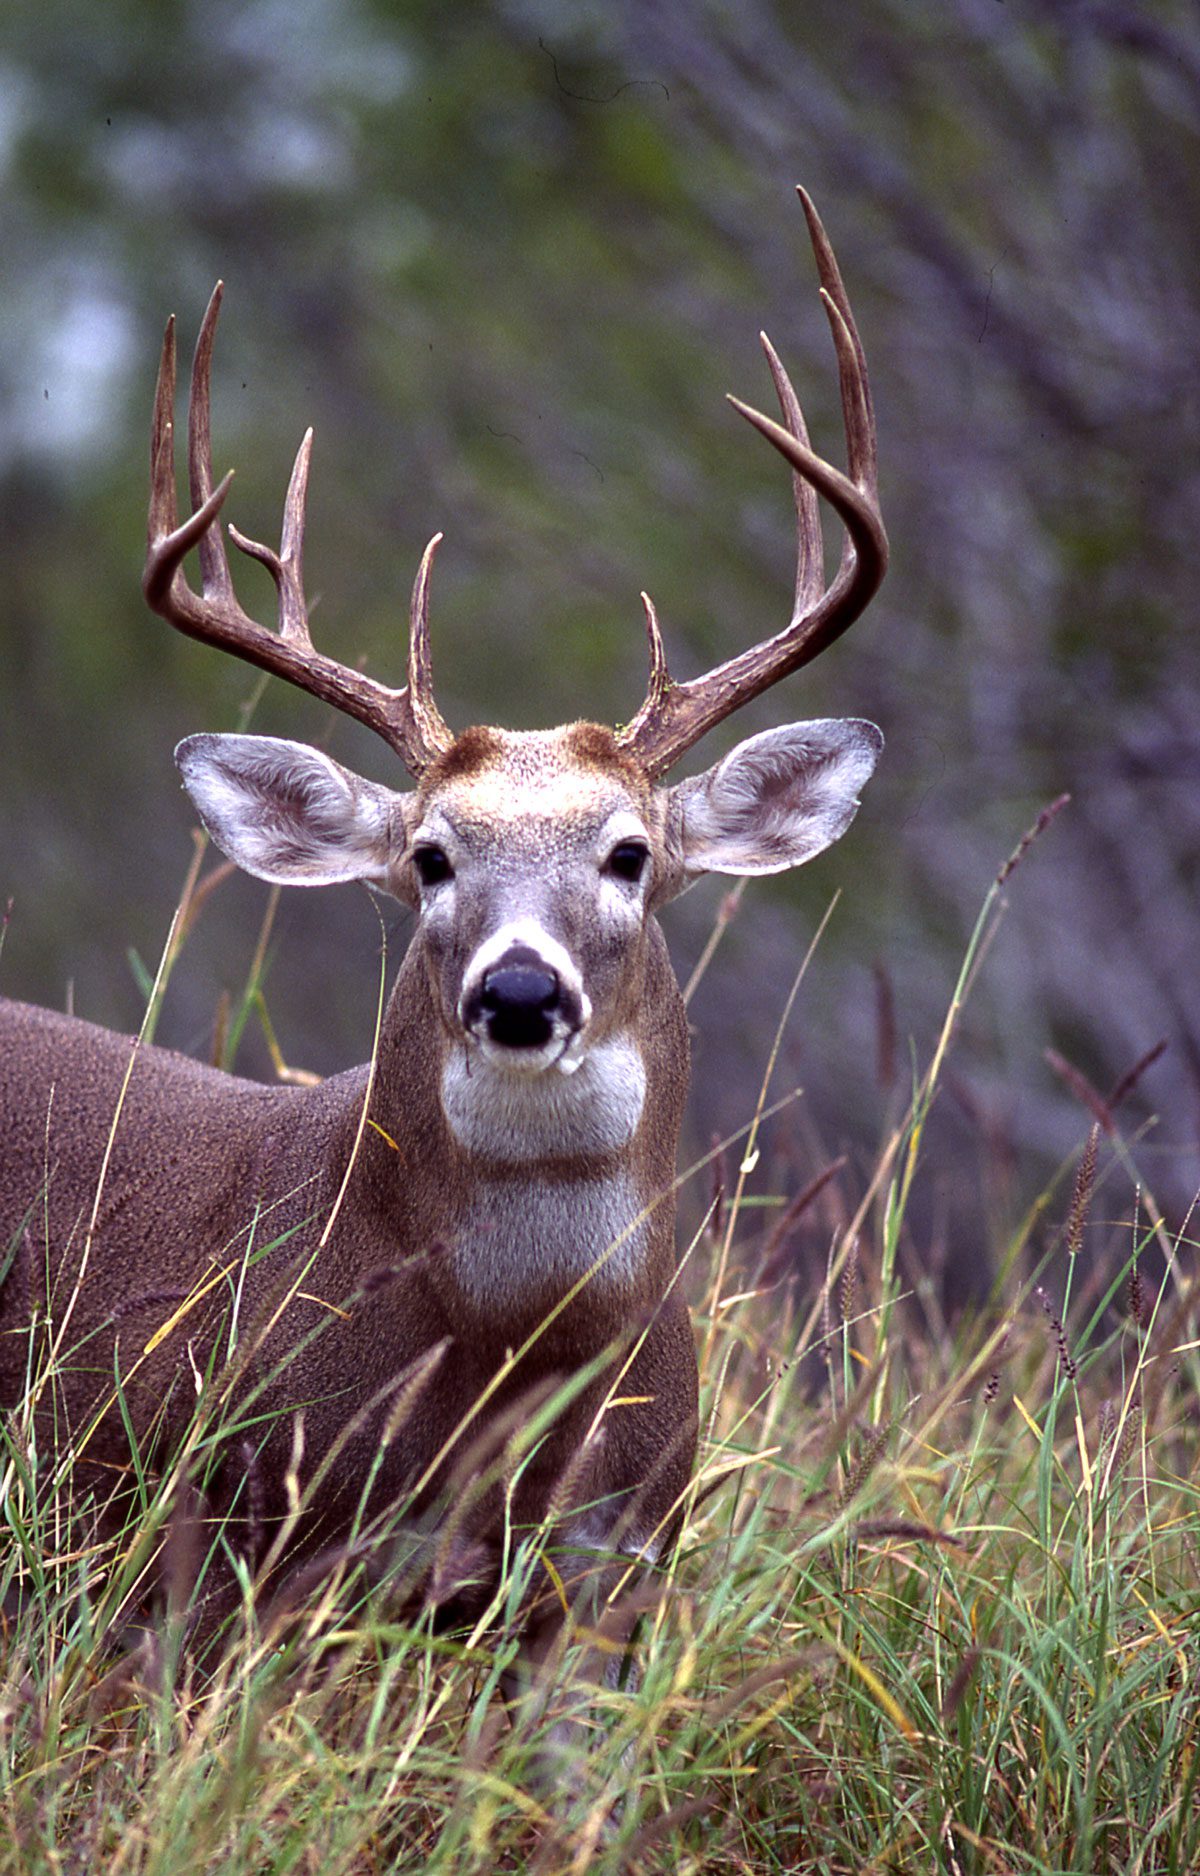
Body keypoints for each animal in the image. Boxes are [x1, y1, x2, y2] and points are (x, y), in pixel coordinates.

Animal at [0, 194, 881, 1703]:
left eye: (630, 853)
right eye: (427, 857)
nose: (520, 989)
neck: (513, 1376)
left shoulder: (608, 1587)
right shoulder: (226, 1546)